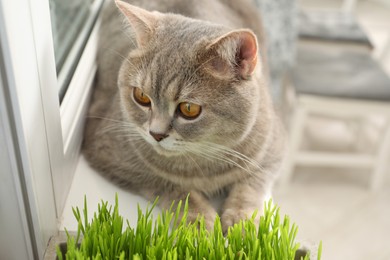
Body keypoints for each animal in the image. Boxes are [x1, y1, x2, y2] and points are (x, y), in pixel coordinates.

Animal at [83, 0, 284, 232]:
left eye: (189, 109)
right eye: (141, 96)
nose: (156, 134)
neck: (202, 162)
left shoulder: (272, 150)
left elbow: (250, 186)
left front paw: (242, 221)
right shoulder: (106, 151)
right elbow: (170, 187)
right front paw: (199, 219)